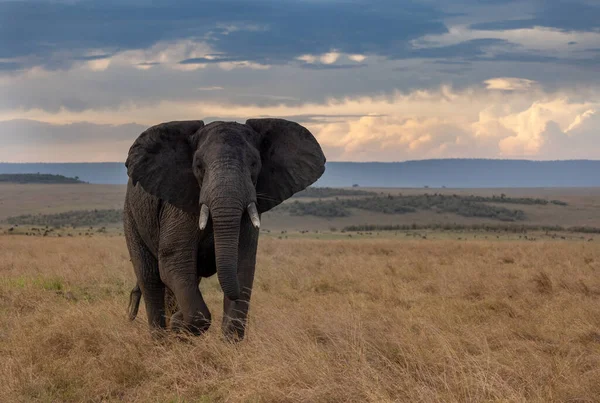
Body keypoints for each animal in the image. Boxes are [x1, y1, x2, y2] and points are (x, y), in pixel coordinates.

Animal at [123, 117, 326, 340]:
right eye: (199, 166)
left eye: (254, 164)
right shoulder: (179, 206)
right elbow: (173, 262)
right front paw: (179, 324)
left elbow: (243, 264)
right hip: (131, 216)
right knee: (150, 279)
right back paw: (161, 341)